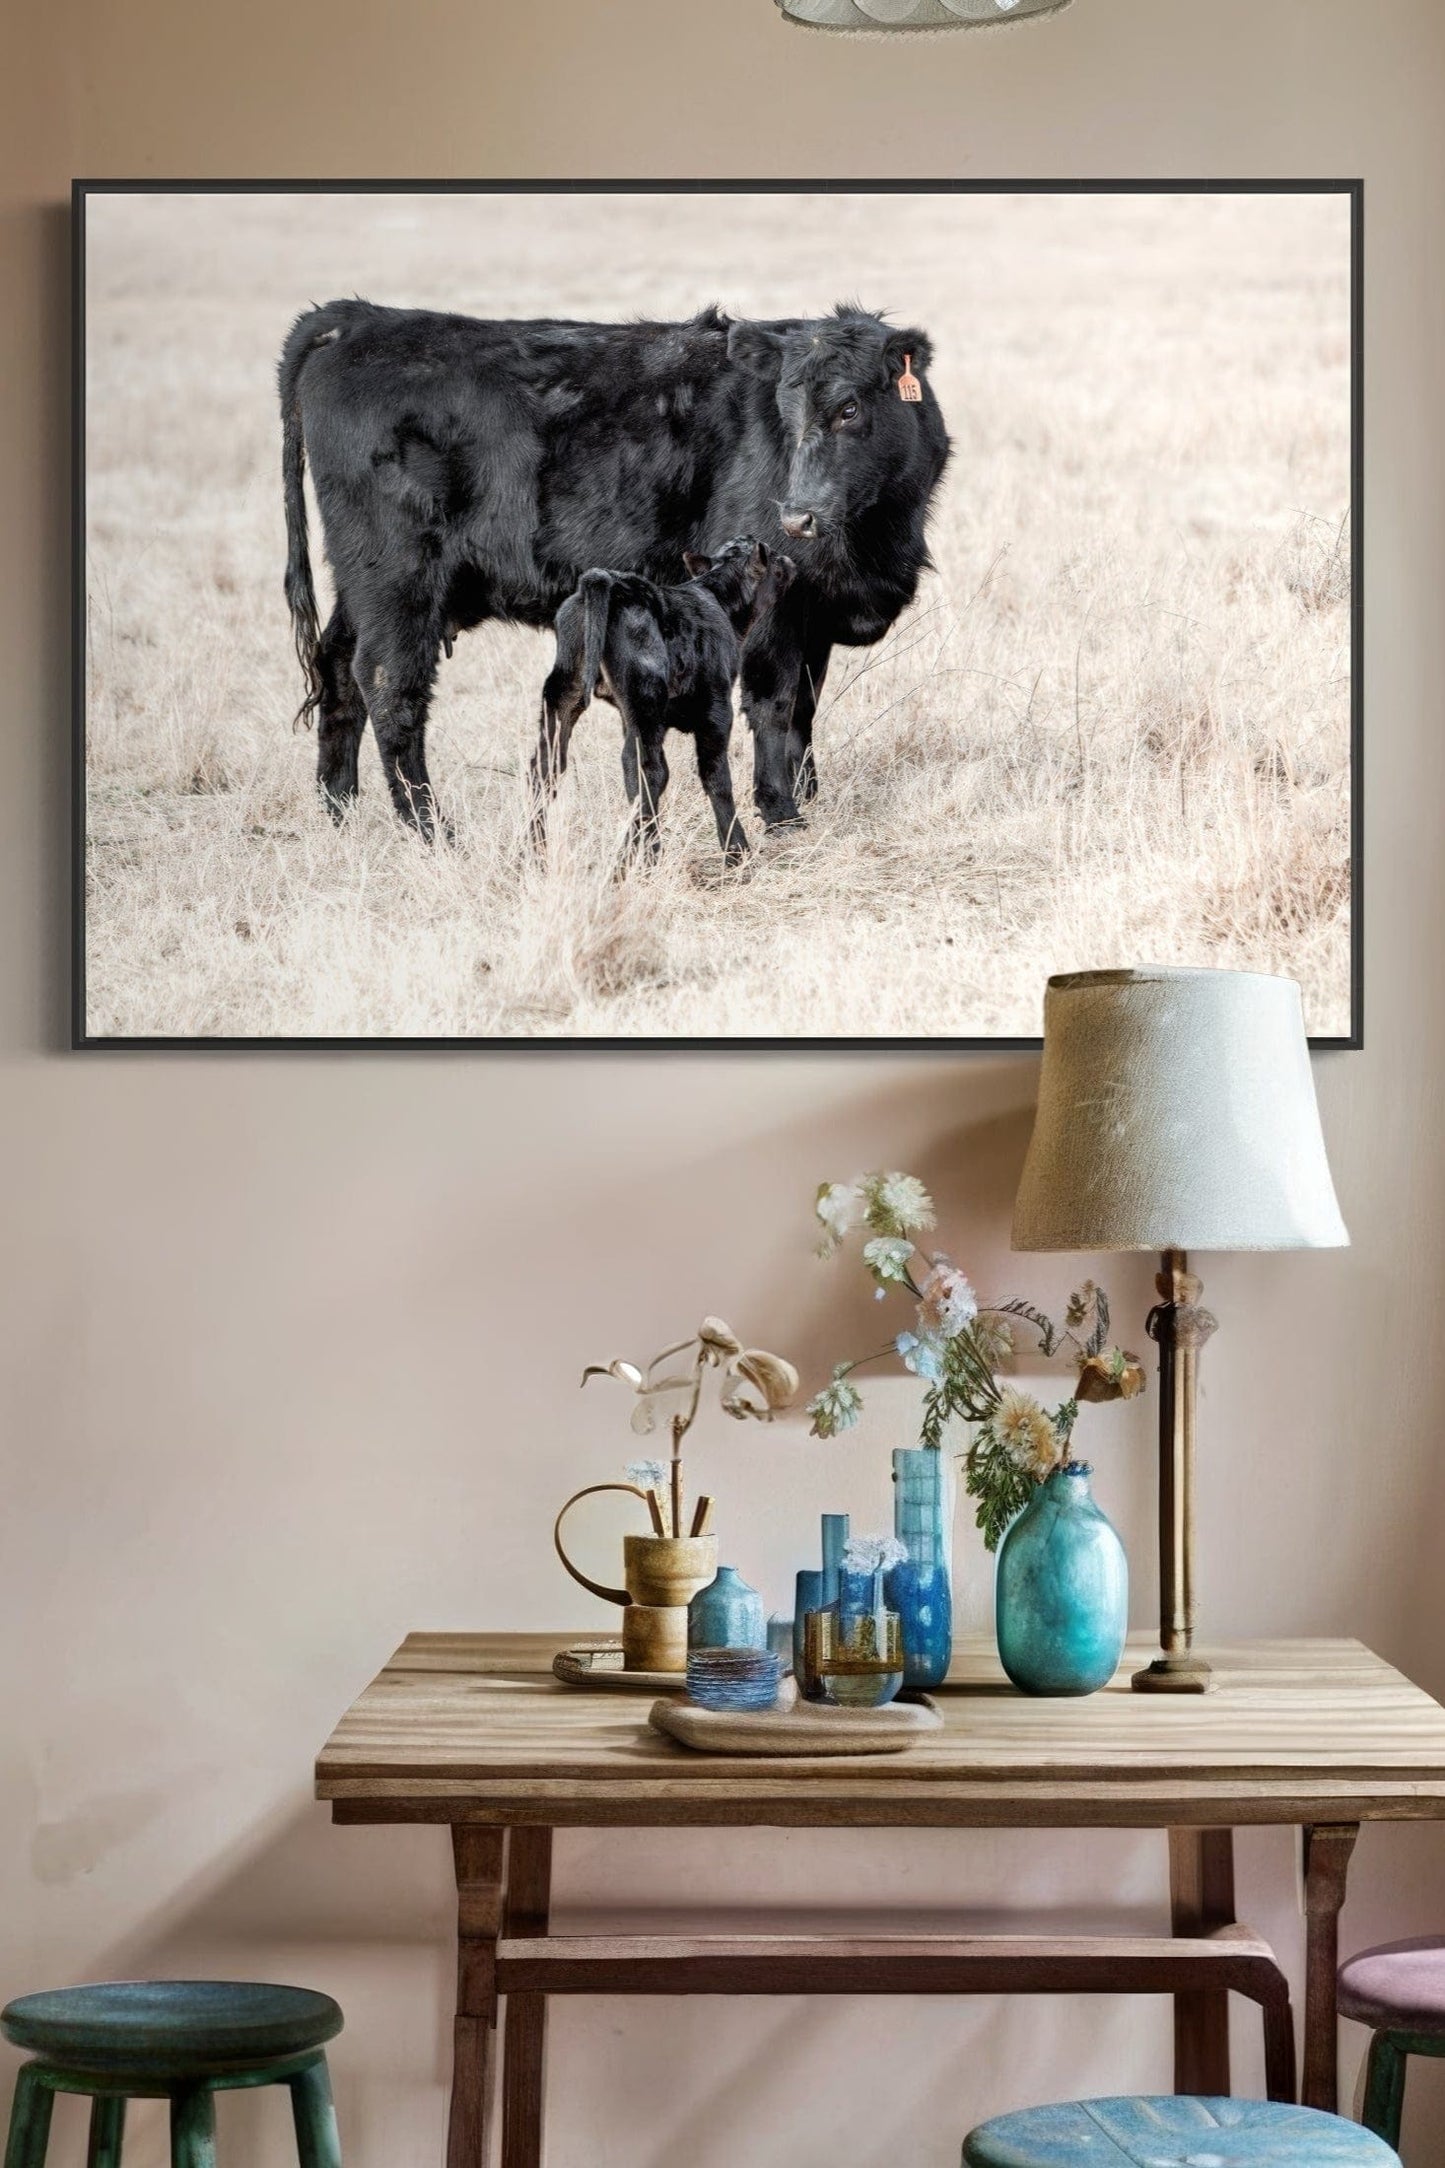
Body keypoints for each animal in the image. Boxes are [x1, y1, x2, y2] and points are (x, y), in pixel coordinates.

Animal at [531, 537, 794, 865]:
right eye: (773, 556)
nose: (789, 560)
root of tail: (611, 581)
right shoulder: (717, 709)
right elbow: (716, 776)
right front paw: (736, 852)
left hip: (568, 692)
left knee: (549, 766)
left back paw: (533, 851)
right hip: (645, 694)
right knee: (646, 770)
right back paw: (639, 857)